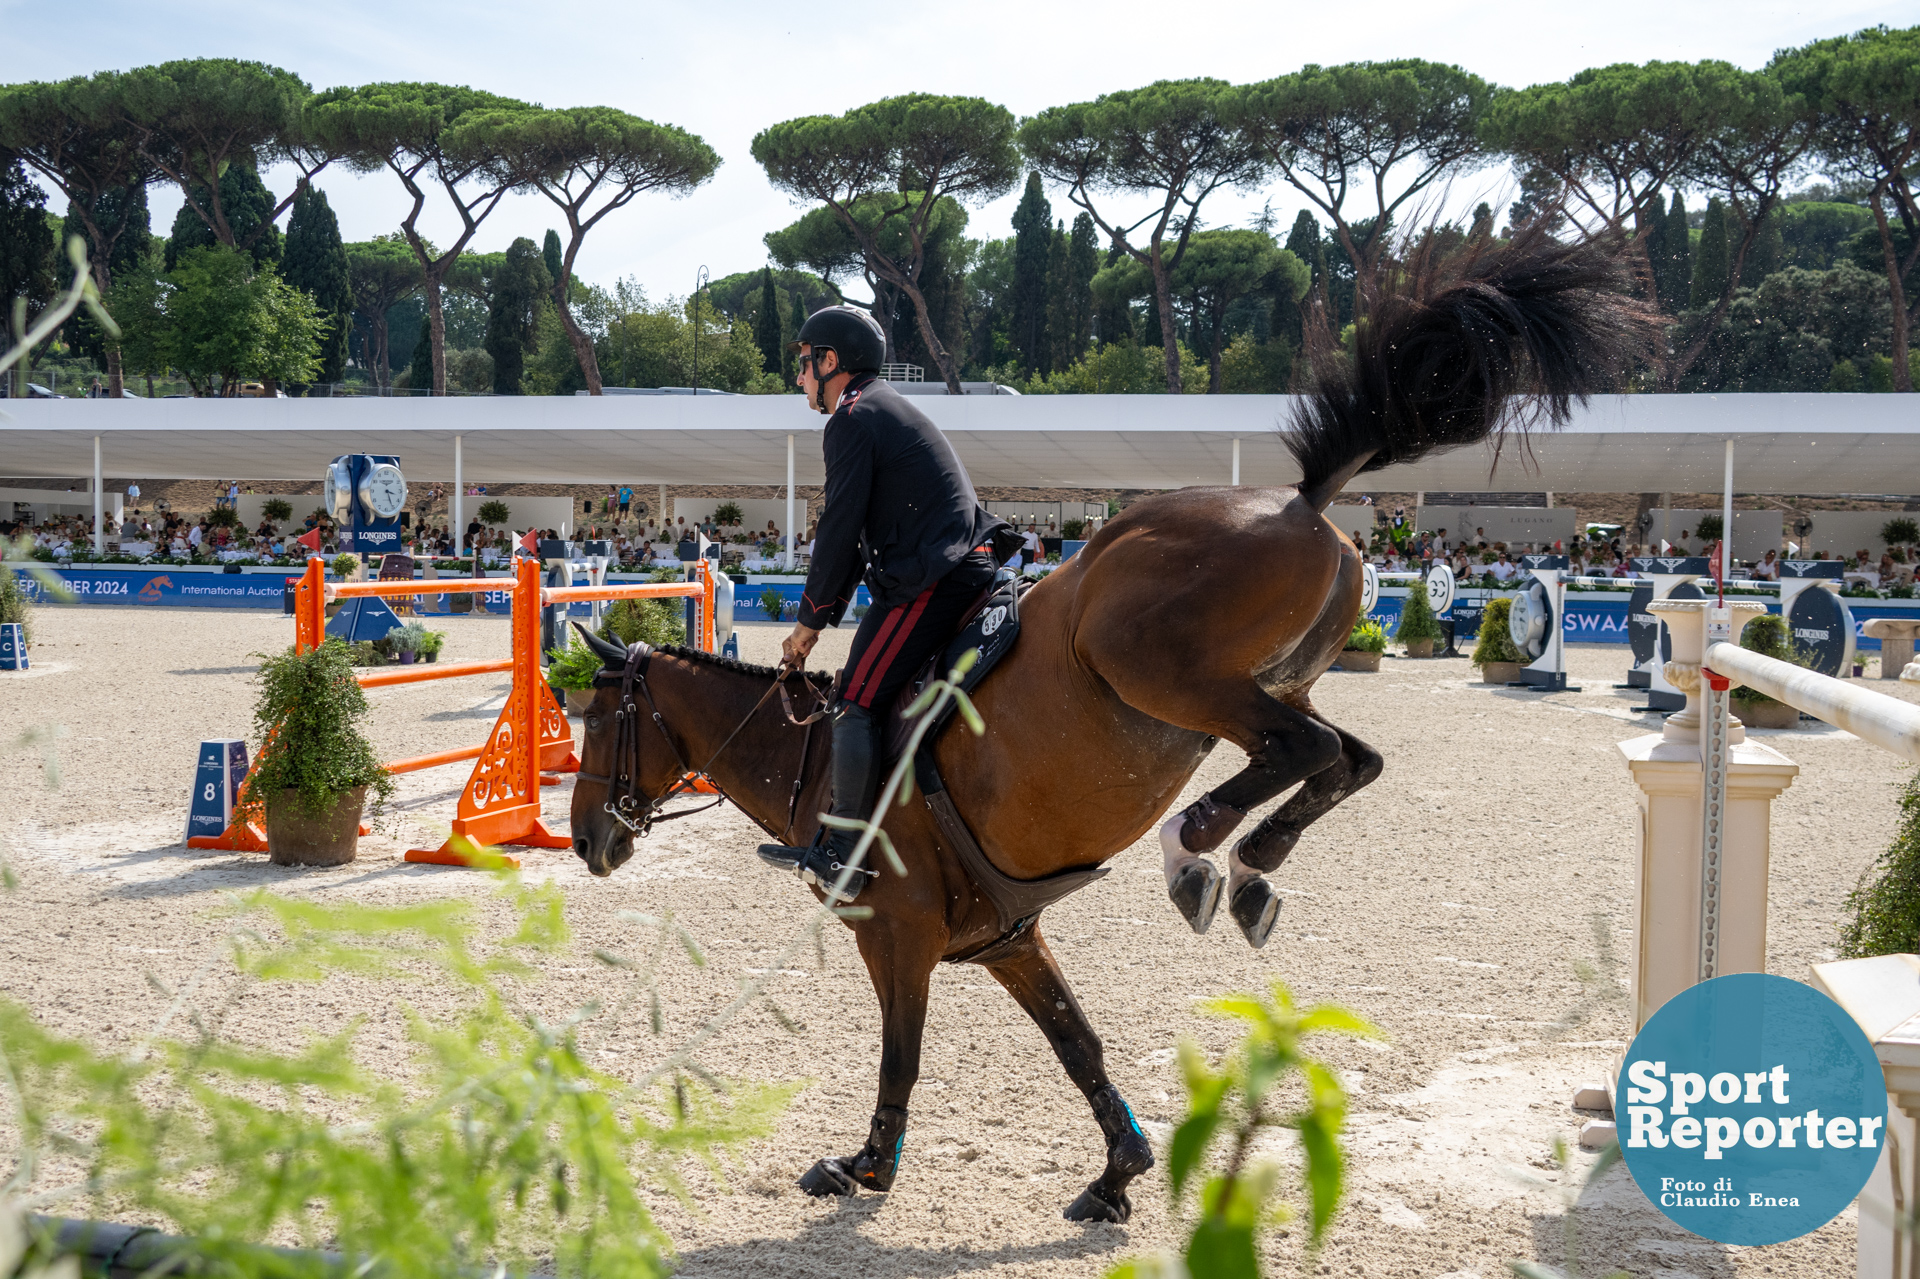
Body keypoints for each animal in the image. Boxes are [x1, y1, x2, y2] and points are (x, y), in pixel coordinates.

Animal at [568, 231, 1651, 1229]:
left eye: (598, 719)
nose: (583, 840)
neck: (808, 755)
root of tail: (1295, 501)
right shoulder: (1009, 937)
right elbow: (1076, 1039)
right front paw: (1118, 1169)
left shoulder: (899, 936)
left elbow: (901, 1054)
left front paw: (866, 1164)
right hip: (1276, 682)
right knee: (1349, 755)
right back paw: (1251, 865)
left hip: (1159, 670)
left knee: (1297, 752)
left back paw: (1199, 849)